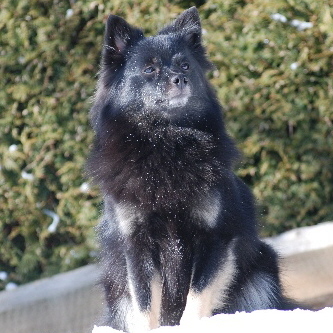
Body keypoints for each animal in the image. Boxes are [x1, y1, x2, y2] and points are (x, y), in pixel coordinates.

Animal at [87, 6, 294, 330]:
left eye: (185, 66)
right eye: (149, 69)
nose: (180, 80)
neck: (168, 142)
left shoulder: (214, 238)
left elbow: (197, 296)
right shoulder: (137, 246)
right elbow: (145, 305)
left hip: (263, 271)